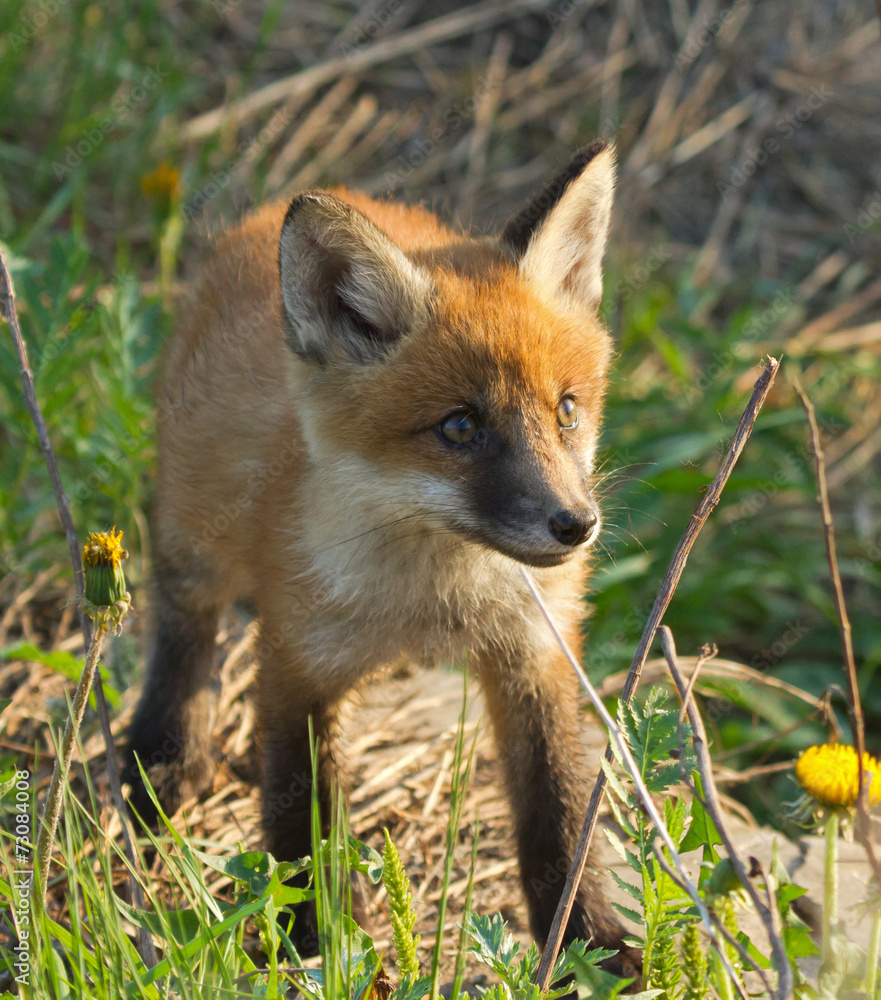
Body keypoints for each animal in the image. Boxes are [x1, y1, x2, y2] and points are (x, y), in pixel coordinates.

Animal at [125, 139, 639, 976]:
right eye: (459, 427)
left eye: (566, 409)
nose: (576, 525)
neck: (433, 600)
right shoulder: (294, 660)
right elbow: (300, 819)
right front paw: (311, 939)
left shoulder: (534, 659)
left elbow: (557, 816)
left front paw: (588, 944)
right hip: (194, 536)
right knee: (183, 625)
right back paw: (163, 754)